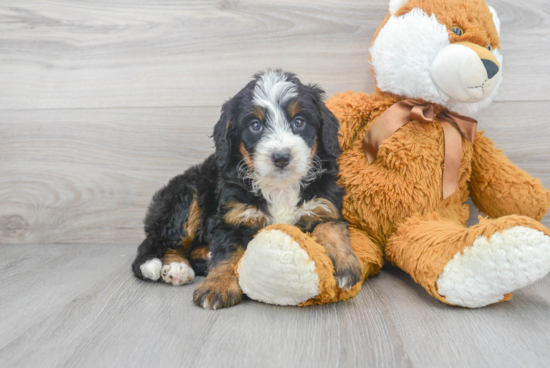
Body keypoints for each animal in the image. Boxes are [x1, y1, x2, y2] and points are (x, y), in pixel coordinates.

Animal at [132, 68, 364, 308]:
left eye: (299, 122)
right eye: (255, 125)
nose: (281, 157)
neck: (279, 186)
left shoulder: (324, 205)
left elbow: (333, 230)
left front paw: (345, 265)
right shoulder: (232, 217)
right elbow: (227, 254)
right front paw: (217, 285)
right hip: (186, 196)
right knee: (163, 243)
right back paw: (175, 268)